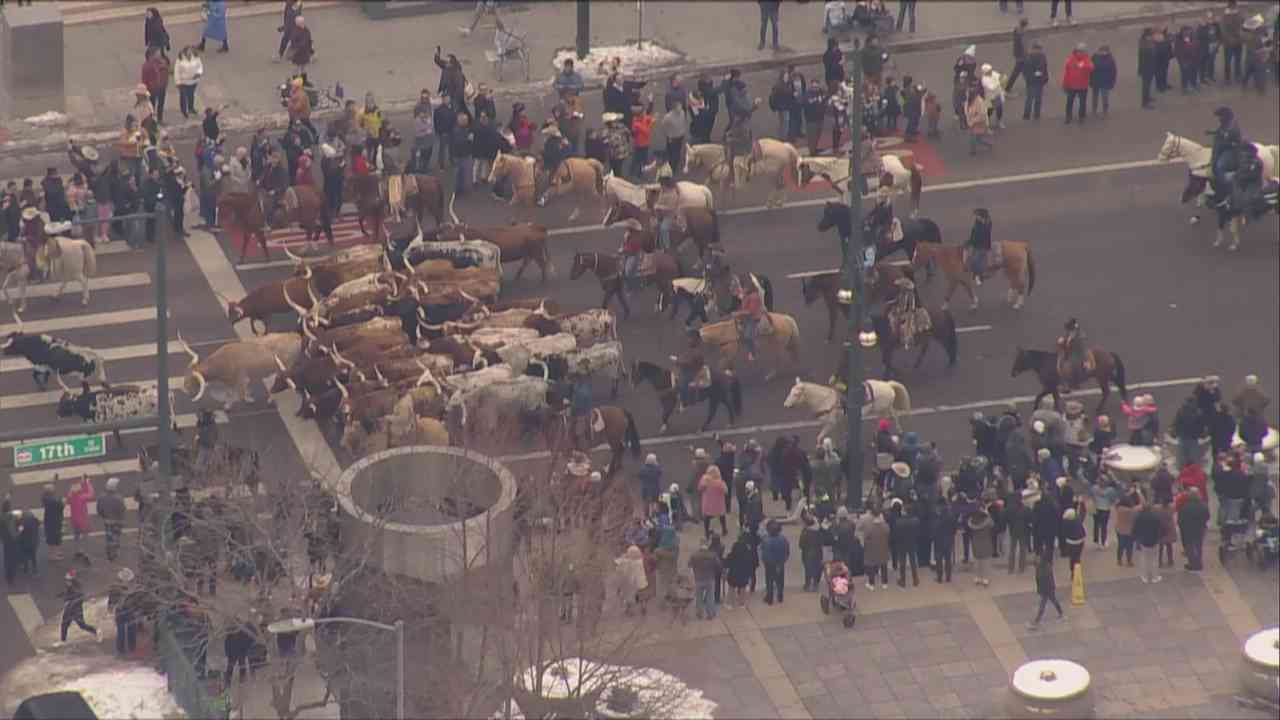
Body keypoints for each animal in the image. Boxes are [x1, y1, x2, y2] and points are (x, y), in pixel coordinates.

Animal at [778, 379, 911, 445]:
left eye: (796, 394)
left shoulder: (830, 424)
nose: (786, 405)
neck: (825, 400)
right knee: (893, 415)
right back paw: (898, 431)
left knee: (886, 418)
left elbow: (820, 437)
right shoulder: (837, 422)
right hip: (886, 407)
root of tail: (888, 385)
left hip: (881, 409)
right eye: (790, 391)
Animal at [911, 239, 1039, 310]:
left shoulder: (954, 280)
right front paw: (975, 302)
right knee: (1014, 284)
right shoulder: (962, 280)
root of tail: (1021, 244)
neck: (950, 256)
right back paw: (1010, 298)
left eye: (917, 254)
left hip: (1015, 271)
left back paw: (1018, 304)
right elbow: (969, 291)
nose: (912, 266)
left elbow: (950, 293)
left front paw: (944, 307)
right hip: (1009, 271)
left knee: (1020, 285)